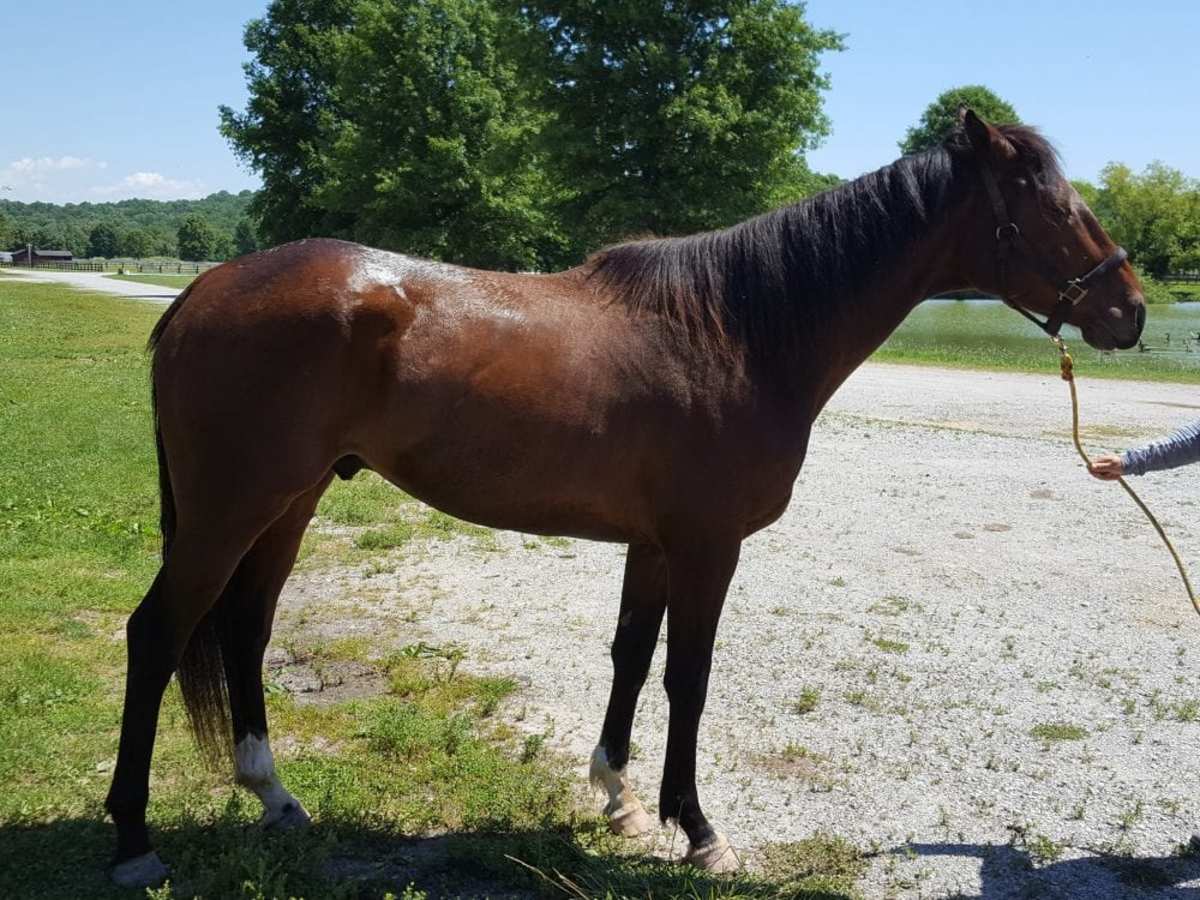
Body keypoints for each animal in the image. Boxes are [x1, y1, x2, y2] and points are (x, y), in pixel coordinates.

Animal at [104, 111, 1144, 886]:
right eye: (1052, 207)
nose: (1130, 309)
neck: (735, 330)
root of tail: (203, 289)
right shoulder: (708, 545)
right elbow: (690, 676)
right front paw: (698, 829)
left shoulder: (653, 544)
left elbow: (633, 659)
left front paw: (616, 793)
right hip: (232, 508)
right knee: (158, 633)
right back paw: (133, 841)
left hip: (290, 502)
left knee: (245, 628)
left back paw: (276, 797)